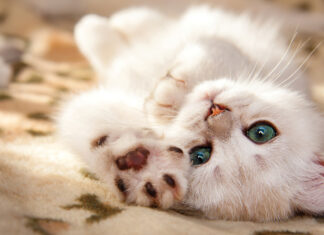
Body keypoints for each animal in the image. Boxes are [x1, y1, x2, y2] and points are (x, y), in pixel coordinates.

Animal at [58, 6, 324, 221]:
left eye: (199, 156)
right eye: (262, 132)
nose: (215, 112)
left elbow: (82, 117)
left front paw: (145, 170)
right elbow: (220, 48)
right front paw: (172, 91)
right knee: (141, 22)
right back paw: (105, 24)